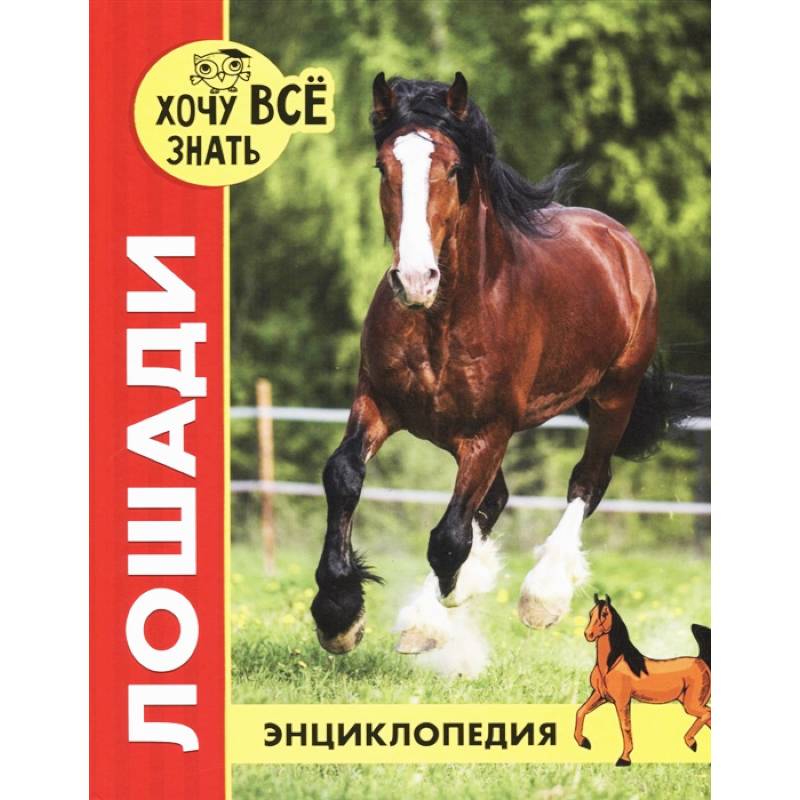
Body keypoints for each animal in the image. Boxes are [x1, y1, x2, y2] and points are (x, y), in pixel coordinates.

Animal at [310, 72, 709, 658]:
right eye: (384, 167)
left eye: (454, 168)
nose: (415, 280)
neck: (445, 316)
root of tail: (618, 239)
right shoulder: (378, 401)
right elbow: (343, 475)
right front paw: (338, 614)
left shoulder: (489, 430)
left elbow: (449, 538)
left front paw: (451, 598)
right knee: (494, 499)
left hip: (614, 395)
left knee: (587, 482)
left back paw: (539, 597)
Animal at [576, 594, 711, 765]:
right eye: (590, 614)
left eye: (604, 614)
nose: (588, 634)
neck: (612, 664)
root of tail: (702, 661)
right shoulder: (600, 695)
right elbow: (581, 712)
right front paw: (583, 742)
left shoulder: (622, 700)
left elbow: (625, 726)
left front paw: (624, 758)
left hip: (692, 703)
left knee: (707, 713)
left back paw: (690, 742)